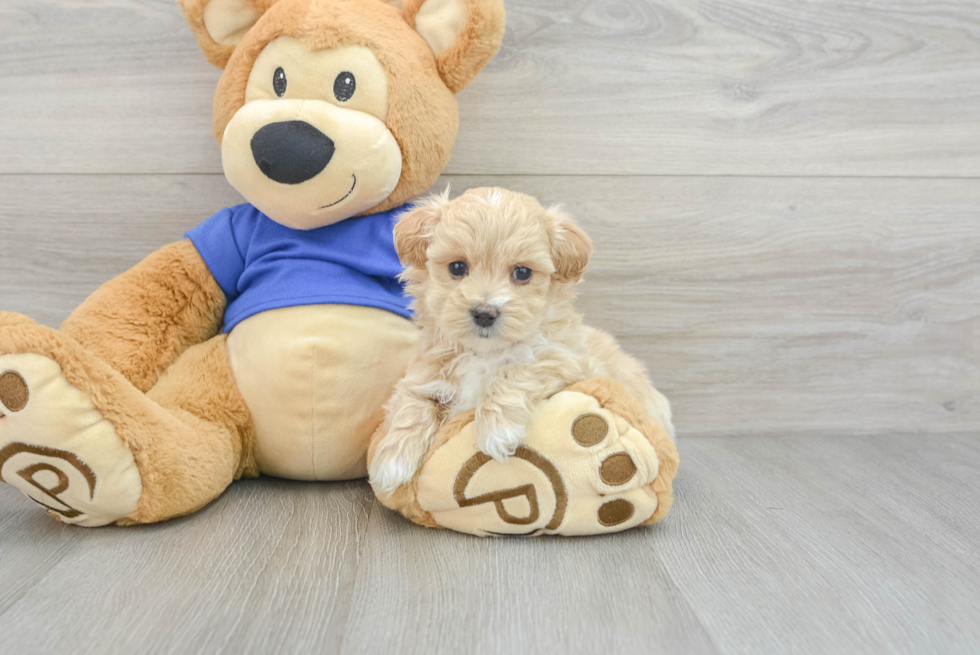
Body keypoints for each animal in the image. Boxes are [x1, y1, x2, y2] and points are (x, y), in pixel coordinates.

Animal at [368, 187, 672, 494]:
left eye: (522, 272)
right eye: (457, 267)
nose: (484, 313)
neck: (484, 353)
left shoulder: (564, 360)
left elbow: (515, 370)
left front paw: (497, 431)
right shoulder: (425, 375)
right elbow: (412, 405)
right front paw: (391, 463)